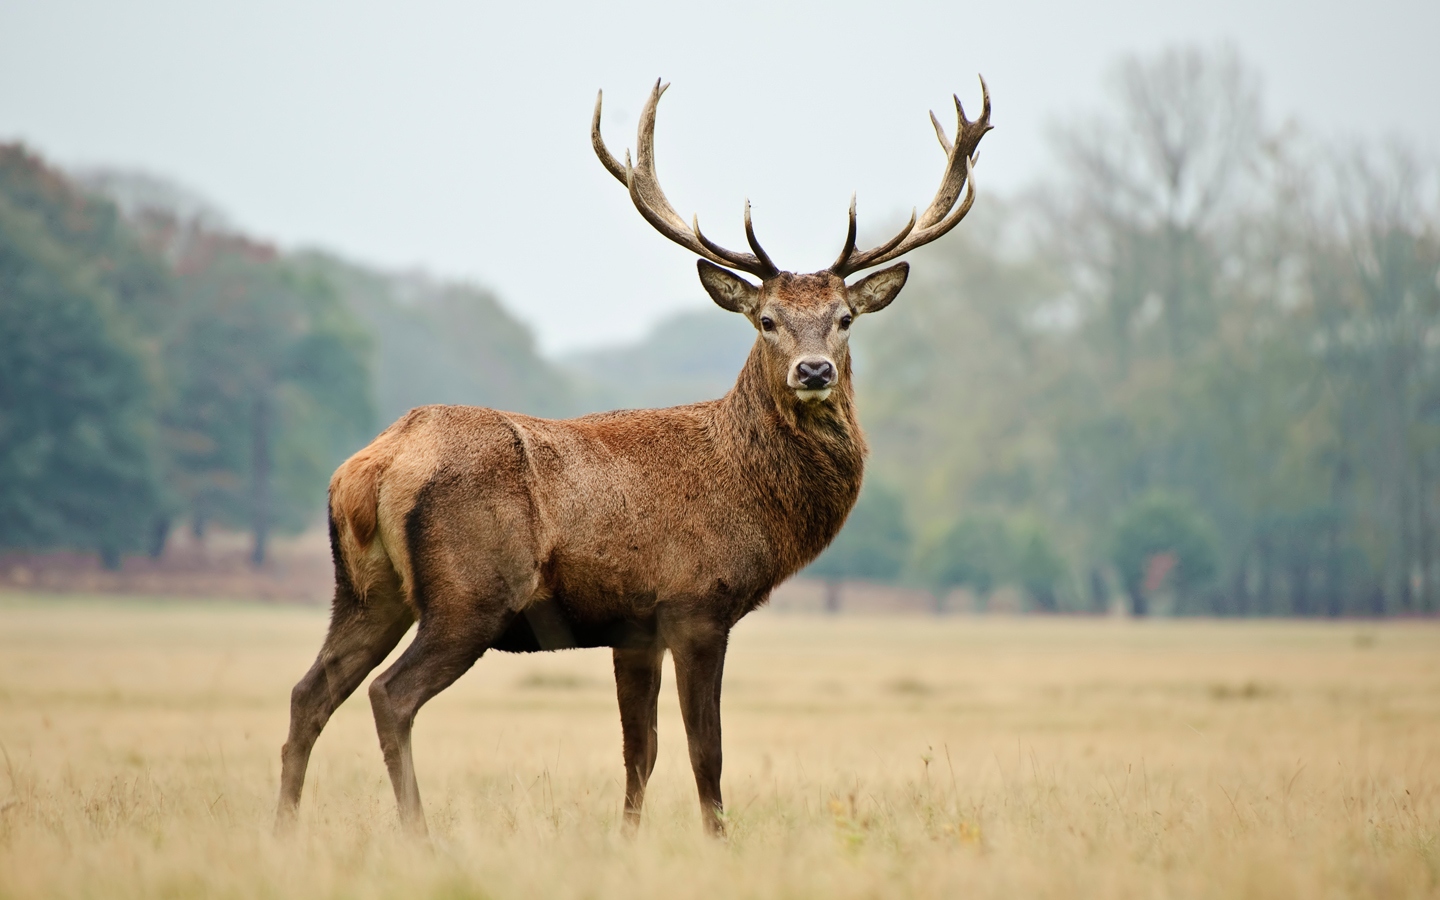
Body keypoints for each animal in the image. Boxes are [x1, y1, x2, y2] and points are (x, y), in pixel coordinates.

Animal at [275, 77, 992, 838]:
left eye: (845, 319)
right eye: (766, 320)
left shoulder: (633, 628)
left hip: (365, 591)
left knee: (308, 693)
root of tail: (372, 466)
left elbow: (638, 751)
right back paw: (418, 834)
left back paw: (284, 829)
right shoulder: (696, 603)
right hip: (469, 593)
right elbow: (706, 750)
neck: (750, 495)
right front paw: (717, 840)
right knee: (390, 695)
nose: (815, 370)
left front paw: (627, 839)